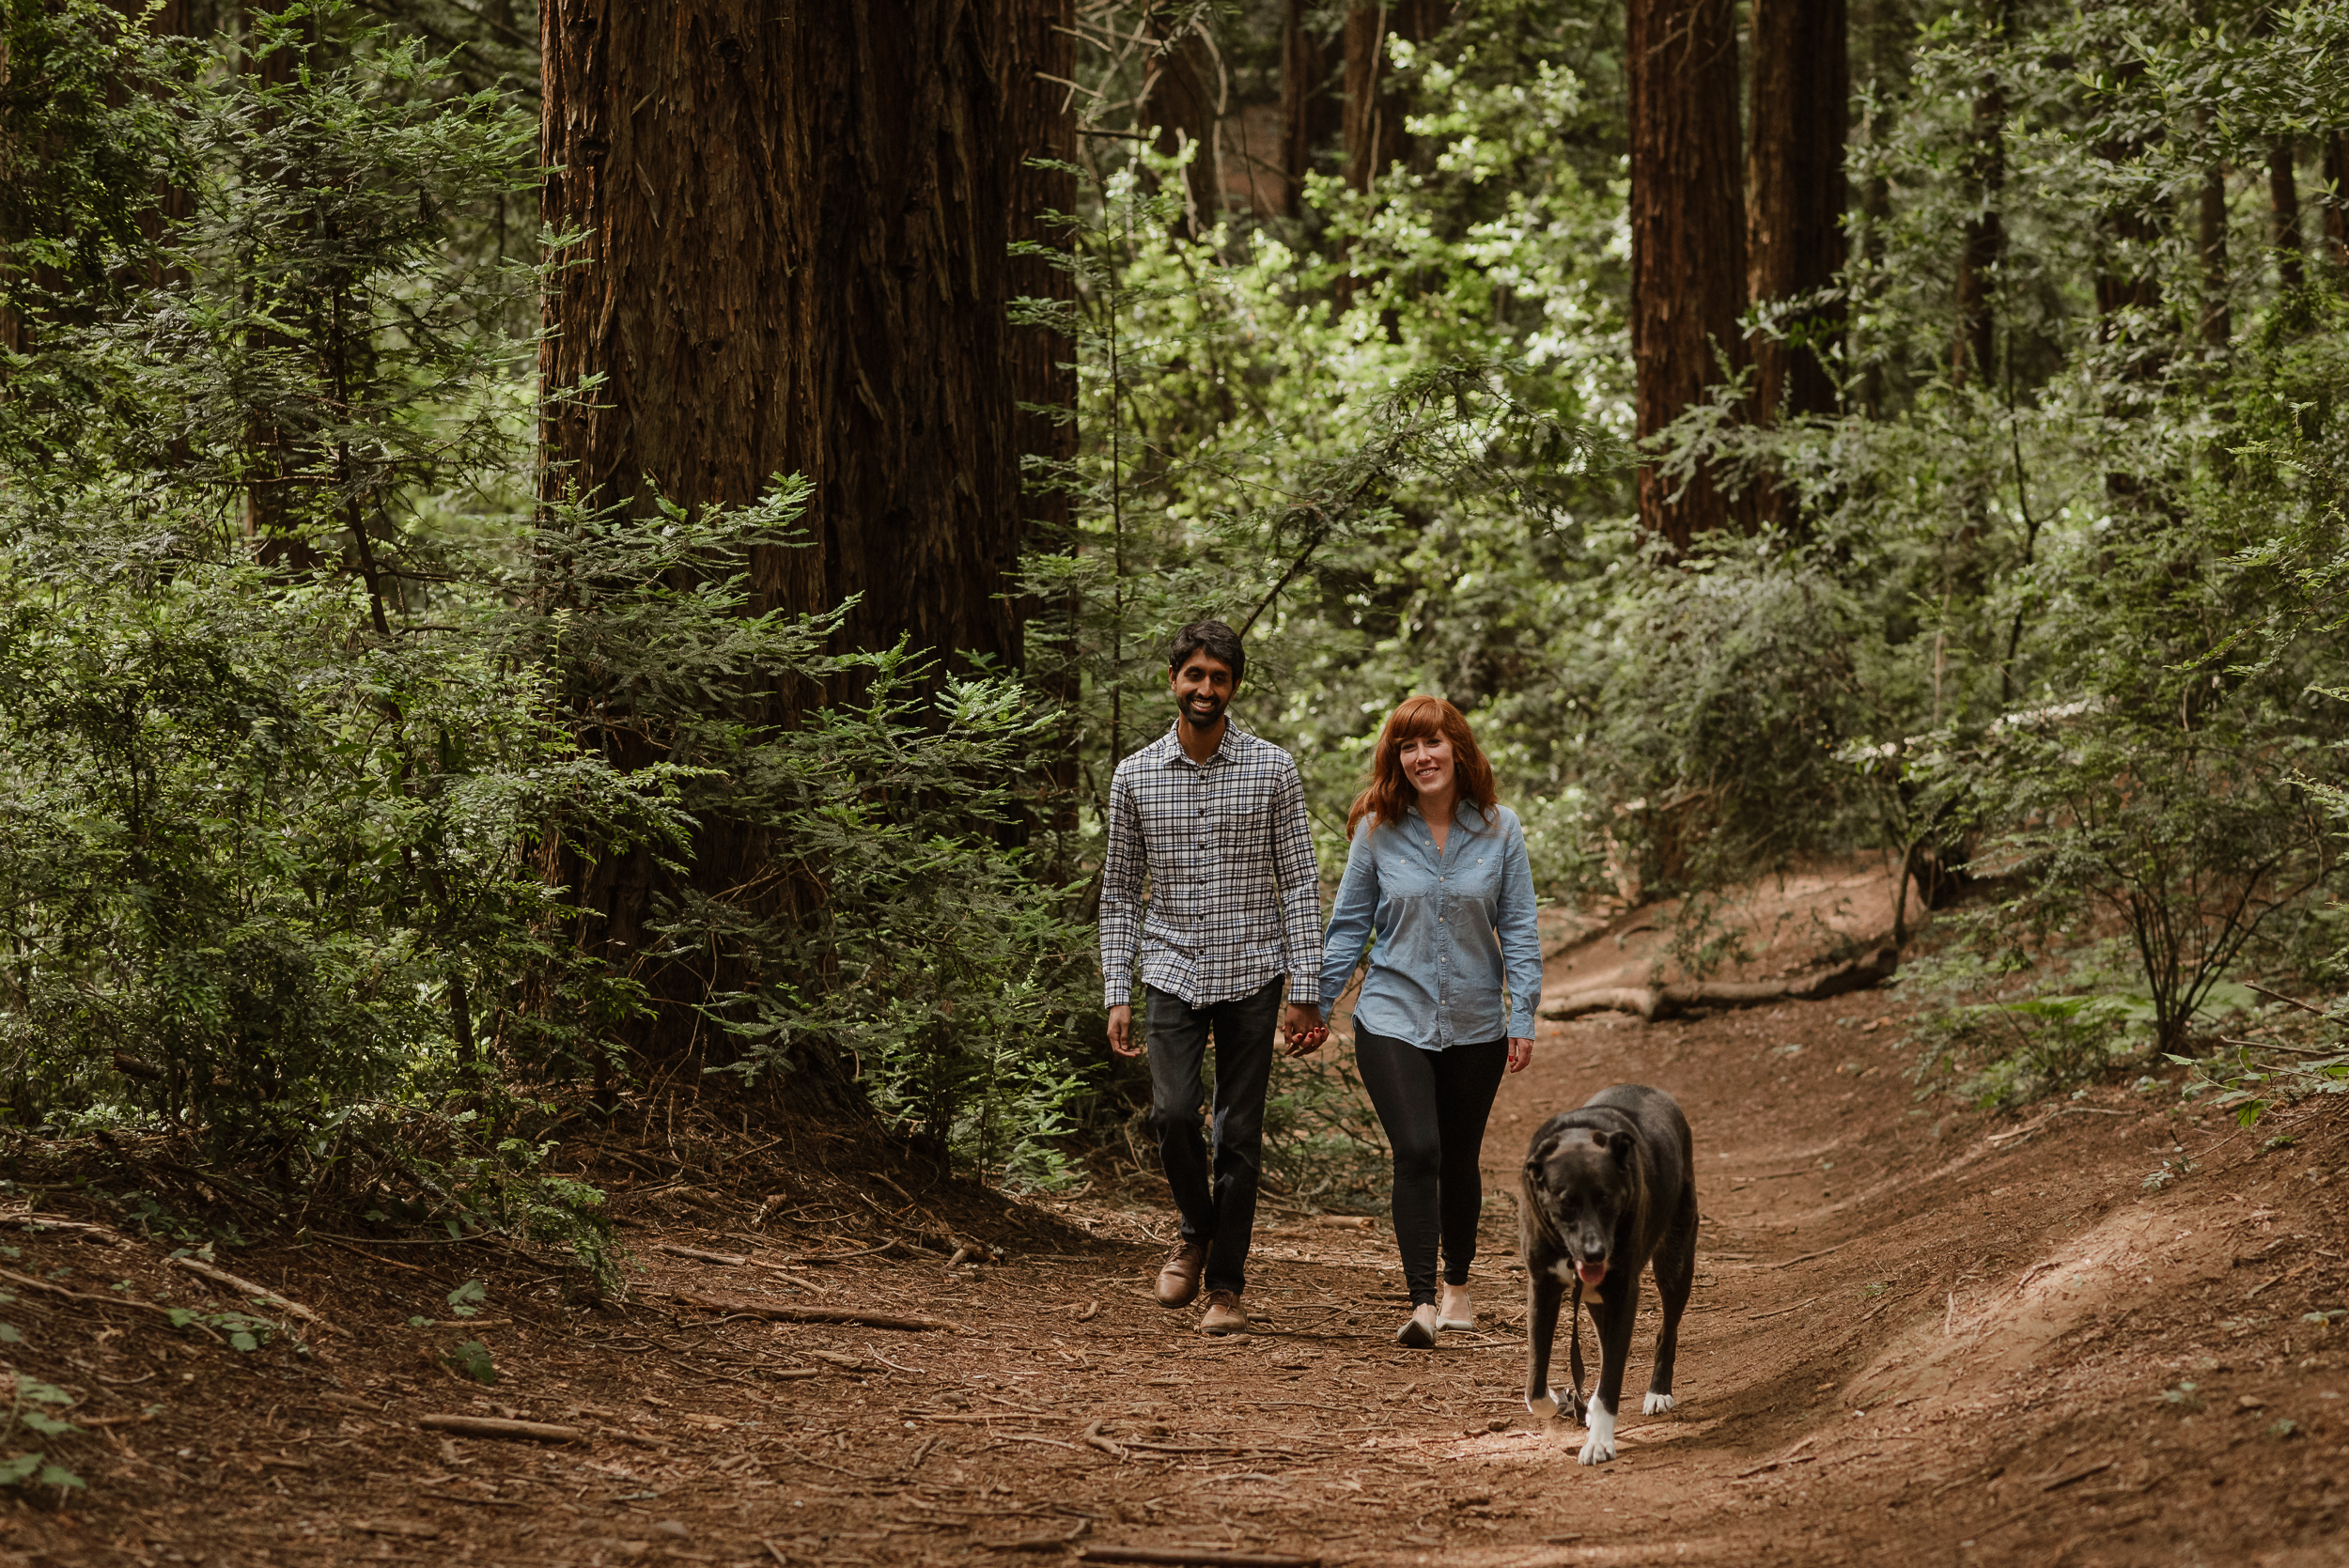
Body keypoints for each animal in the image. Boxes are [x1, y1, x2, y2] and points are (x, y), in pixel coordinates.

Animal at [1513, 1084, 1701, 1465]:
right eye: (1565, 1201)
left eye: (1606, 1198)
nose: (1596, 1253)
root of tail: (1653, 1089)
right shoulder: (1542, 1287)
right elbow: (1535, 1387)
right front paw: (1557, 1401)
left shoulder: (1624, 1291)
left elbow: (1613, 1376)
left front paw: (1600, 1441)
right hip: (1596, 1299)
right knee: (1604, 1342)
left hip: (1674, 1261)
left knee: (1667, 1332)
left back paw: (1658, 1392)